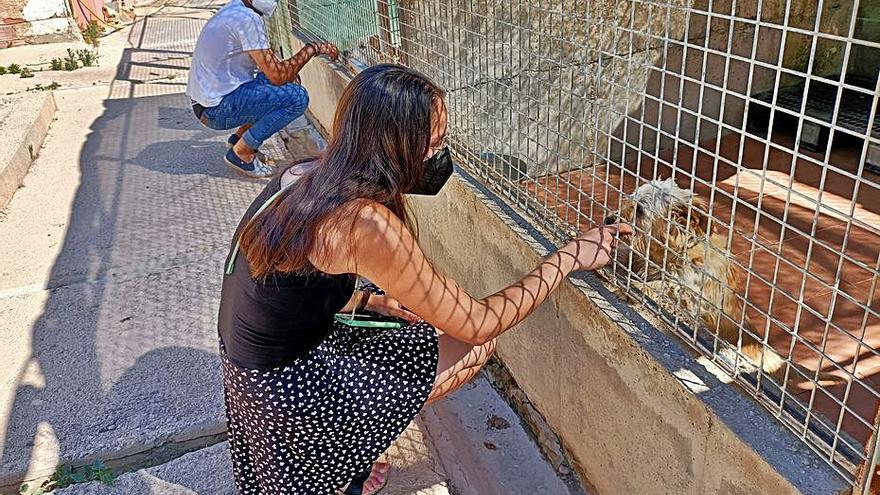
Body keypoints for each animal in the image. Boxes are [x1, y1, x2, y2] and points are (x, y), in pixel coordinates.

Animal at [600, 178, 836, 388]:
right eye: (630, 200)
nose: (608, 220)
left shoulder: (693, 300)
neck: (675, 254)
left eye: (640, 209)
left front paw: (632, 288)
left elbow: (664, 289)